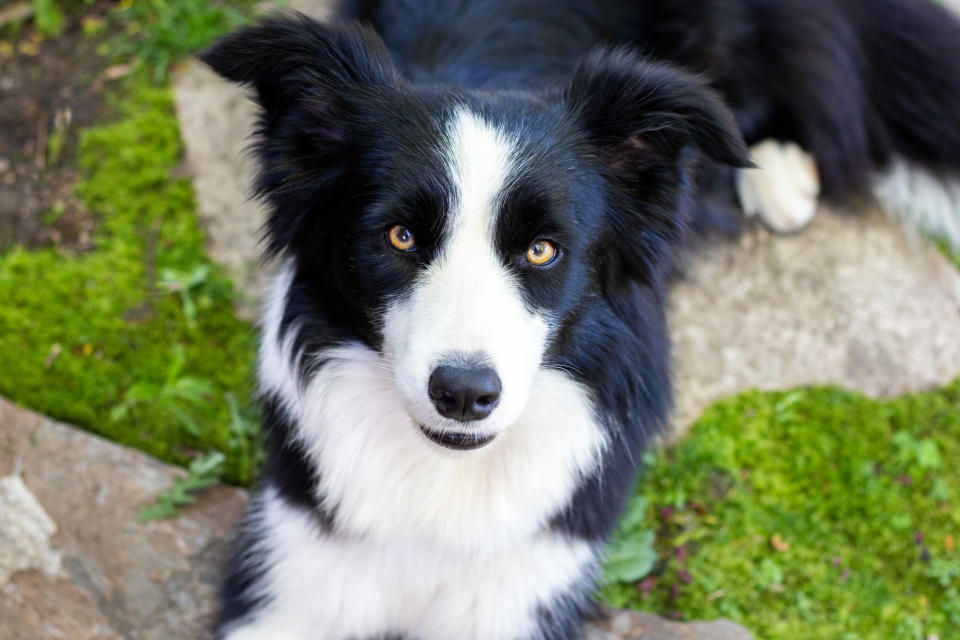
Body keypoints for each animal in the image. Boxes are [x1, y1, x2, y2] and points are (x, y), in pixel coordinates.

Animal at [206, 2, 960, 636]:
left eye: (543, 249)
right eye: (400, 237)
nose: (464, 395)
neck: (445, 481)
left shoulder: (525, 584)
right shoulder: (293, 572)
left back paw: (776, 174)